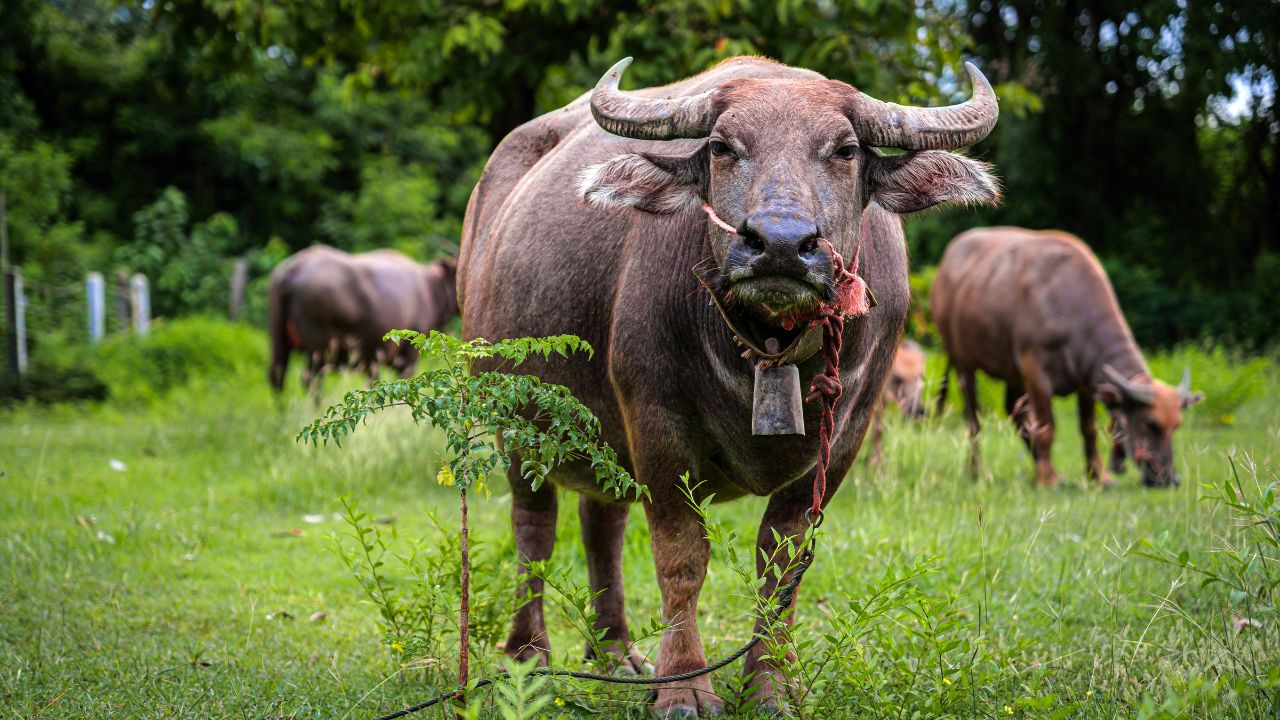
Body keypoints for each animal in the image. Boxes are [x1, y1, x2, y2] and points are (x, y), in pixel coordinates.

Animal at [268, 245, 457, 394]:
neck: (432, 288)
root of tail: (295, 268)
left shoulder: (371, 360)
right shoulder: (407, 357)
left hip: (279, 339)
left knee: (277, 376)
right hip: (320, 349)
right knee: (311, 379)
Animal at [458, 56, 999, 715]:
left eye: (845, 150)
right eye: (722, 147)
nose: (781, 244)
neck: (770, 352)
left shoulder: (843, 442)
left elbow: (782, 569)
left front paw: (770, 687)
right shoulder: (657, 428)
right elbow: (682, 559)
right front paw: (685, 685)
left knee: (601, 523)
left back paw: (616, 653)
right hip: (513, 417)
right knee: (534, 525)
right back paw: (531, 656)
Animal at [931, 227, 1202, 488]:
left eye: (1176, 425)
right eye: (1150, 423)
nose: (1170, 479)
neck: (1068, 307)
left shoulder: (1086, 380)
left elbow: (1088, 430)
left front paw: (1098, 477)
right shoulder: (1035, 373)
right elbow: (1047, 427)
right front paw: (1047, 479)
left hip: (1013, 373)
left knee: (1015, 412)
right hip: (963, 363)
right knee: (974, 420)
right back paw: (979, 471)